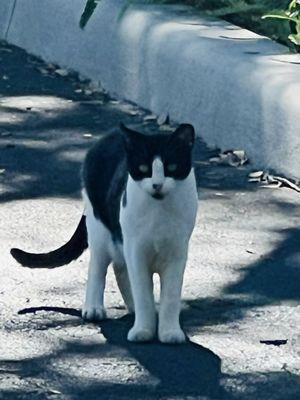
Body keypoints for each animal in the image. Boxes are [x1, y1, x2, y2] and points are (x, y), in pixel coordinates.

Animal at [11, 122, 199, 344]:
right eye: (144, 169)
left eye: (172, 167)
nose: (157, 185)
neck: (159, 212)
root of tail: (108, 136)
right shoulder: (136, 251)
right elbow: (142, 292)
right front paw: (143, 330)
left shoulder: (177, 253)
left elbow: (170, 296)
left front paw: (169, 332)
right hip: (99, 228)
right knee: (98, 267)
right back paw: (94, 308)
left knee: (119, 268)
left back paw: (135, 308)